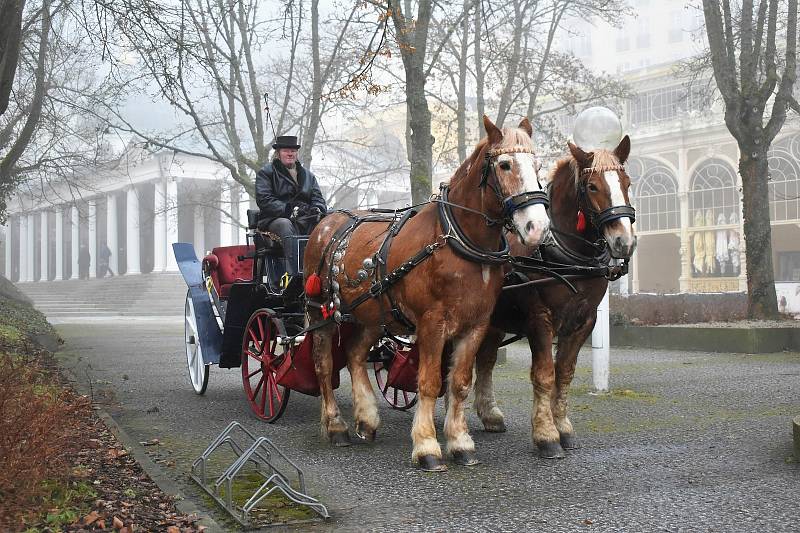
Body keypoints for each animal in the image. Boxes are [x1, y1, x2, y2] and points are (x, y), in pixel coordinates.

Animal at [304, 115, 552, 470]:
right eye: (504, 164)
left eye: (538, 165)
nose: (537, 227)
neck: (457, 242)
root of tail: (329, 221)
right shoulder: (432, 323)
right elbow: (430, 381)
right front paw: (426, 446)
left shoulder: (476, 325)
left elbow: (459, 383)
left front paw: (460, 442)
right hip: (320, 311)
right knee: (324, 363)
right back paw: (336, 426)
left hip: (373, 315)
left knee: (354, 353)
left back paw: (367, 418)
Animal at [476, 136, 636, 458]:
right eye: (592, 187)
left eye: (626, 182)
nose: (623, 241)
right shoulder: (540, 319)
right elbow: (544, 374)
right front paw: (546, 435)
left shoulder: (583, 321)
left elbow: (564, 373)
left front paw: (563, 428)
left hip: (493, 323)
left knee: (484, 361)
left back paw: (489, 414)